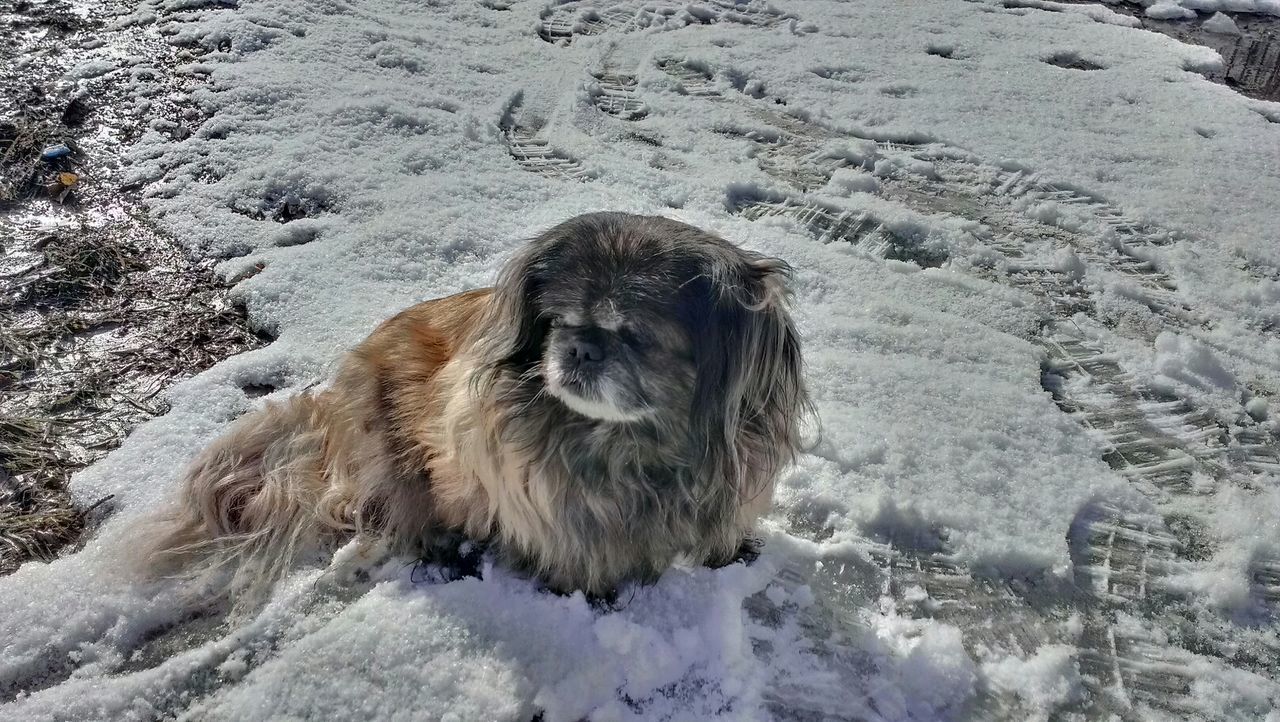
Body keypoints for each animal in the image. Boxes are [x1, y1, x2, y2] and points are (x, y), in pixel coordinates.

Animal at [147, 211, 808, 601]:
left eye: (636, 335)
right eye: (556, 322)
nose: (578, 348)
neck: (632, 450)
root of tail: (327, 404)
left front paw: (734, 558)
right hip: (389, 446)